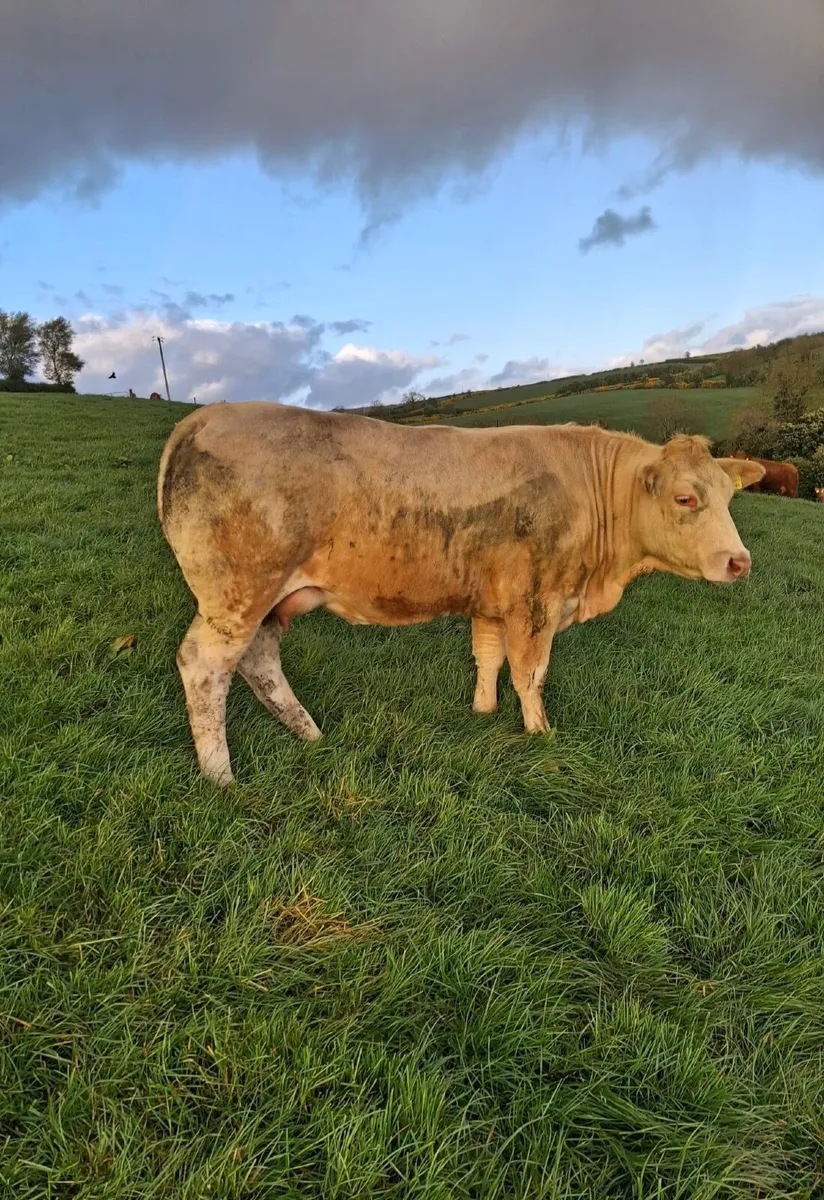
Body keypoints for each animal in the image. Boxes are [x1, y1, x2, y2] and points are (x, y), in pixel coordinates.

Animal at [158, 404, 765, 786]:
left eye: (728, 496)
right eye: (686, 498)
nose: (740, 562)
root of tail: (203, 416)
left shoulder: (494, 599)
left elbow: (489, 656)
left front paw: (482, 712)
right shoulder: (535, 599)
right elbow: (530, 672)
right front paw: (540, 735)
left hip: (264, 600)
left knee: (259, 662)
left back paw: (309, 734)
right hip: (238, 591)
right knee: (205, 666)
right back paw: (220, 776)